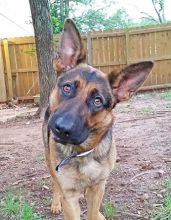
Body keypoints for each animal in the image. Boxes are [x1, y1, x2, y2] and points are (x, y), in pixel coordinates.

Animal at [42, 18, 154, 220]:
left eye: (97, 101)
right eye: (67, 87)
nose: (62, 128)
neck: (82, 153)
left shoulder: (99, 186)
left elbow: (93, 210)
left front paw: (97, 213)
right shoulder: (69, 196)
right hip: (49, 160)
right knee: (55, 182)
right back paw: (55, 202)